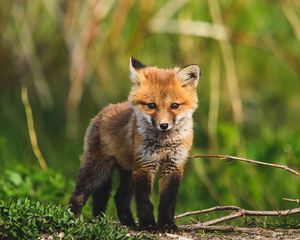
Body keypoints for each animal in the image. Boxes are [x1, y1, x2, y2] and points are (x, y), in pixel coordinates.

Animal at [69, 56, 200, 231]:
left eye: (174, 106)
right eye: (151, 105)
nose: (163, 125)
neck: (163, 143)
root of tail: (104, 110)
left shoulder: (173, 165)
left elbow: (168, 201)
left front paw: (167, 224)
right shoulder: (144, 165)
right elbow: (144, 201)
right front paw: (149, 224)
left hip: (128, 174)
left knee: (119, 198)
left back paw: (129, 224)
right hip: (99, 170)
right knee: (79, 193)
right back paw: (72, 218)